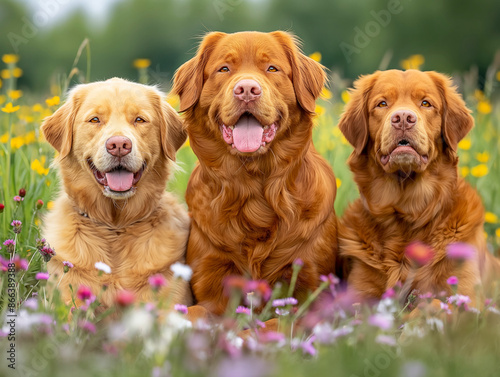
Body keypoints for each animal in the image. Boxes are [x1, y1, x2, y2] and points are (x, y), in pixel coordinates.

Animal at [170, 30, 338, 316]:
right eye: (224, 69)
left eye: (271, 68)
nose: (247, 90)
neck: (253, 187)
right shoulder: (210, 289)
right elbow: (194, 313)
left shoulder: (310, 296)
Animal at [336, 69, 500, 304]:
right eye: (382, 103)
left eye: (425, 103)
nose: (403, 118)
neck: (407, 210)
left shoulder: (469, 298)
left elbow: (433, 304)